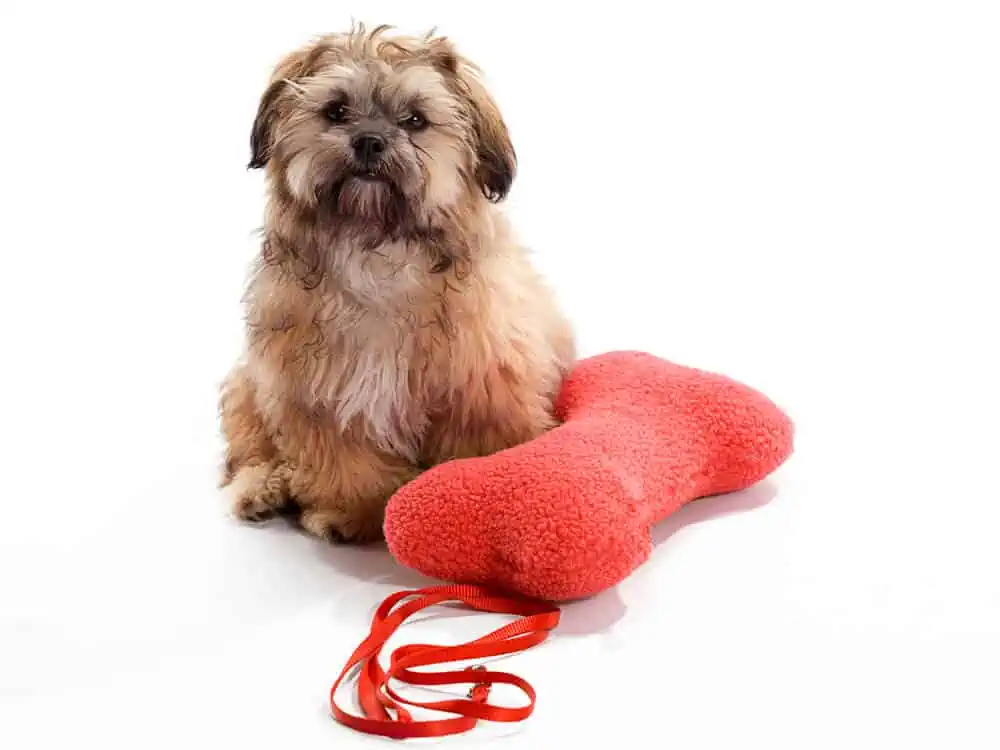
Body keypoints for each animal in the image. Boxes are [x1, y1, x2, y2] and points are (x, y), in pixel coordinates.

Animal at [222, 26, 576, 544]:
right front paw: (353, 512)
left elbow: (483, 444)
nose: (369, 141)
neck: (377, 250)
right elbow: (344, 461)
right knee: (248, 451)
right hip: (246, 387)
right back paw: (262, 487)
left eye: (415, 120)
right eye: (336, 111)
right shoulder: (311, 390)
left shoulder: (483, 383)